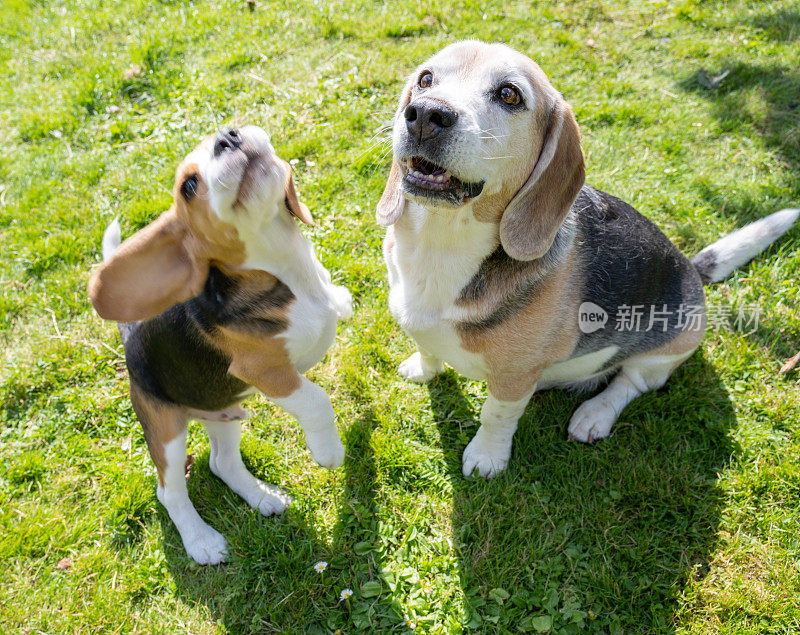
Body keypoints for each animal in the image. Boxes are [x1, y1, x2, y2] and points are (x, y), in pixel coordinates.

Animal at [87, 126, 350, 564]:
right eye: (189, 186)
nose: (228, 137)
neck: (289, 272)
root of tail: (131, 342)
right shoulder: (266, 371)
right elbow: (316, 399)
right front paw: (329, 452)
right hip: (167, 431)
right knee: (170, 491)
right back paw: (202, 541)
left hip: (222, 413)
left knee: (221, 463)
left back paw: (263, 498)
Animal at [376, 41, 800, 476]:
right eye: (426, 79)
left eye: (509, 94)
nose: (426, 114)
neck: (441, 243)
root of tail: (692, 271)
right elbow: (428, 348)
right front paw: (422, 369)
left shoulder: (514, 378)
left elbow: (496, 415)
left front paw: (487, 456)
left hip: (665, 351)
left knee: (630, 383)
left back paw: (594, 414)